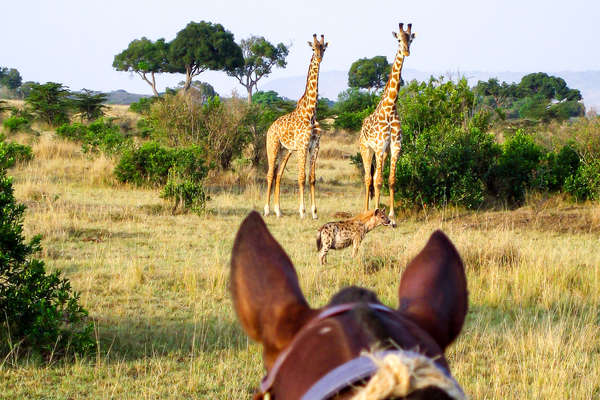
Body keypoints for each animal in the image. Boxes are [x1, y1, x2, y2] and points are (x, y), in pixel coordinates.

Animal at [230, 214, 468, 400]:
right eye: (385, 216)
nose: (393, 223)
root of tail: (320, 228)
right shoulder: (355, 241)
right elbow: (355, 255)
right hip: (326, 243)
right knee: (321, 255)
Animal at [264, 33, 328, 219]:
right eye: (313, 48)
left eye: (323, 48)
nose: (319, 57)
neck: (311, 112)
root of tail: (270, 127)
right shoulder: (303, 145)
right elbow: (301, 177)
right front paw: (303, 211)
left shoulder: (315, 146)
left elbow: (312, 178)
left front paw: (314, 212)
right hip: (273, 146)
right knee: (270, 174)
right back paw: (267, 210)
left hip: (286, 151)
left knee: (278, 175)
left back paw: (278, 211)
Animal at [358, 21, 414, 220]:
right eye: (398, 39)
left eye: (410, 39)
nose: (406, 51)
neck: (390, 106)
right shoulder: (381, 147)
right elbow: (379, 180)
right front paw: (377, 212)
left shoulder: (395, 147)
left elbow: (391, 179)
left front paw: (392, 214)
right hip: (366, 149)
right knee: (369, 178)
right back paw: (366, 210)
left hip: (378, 151)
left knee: (373, 177)